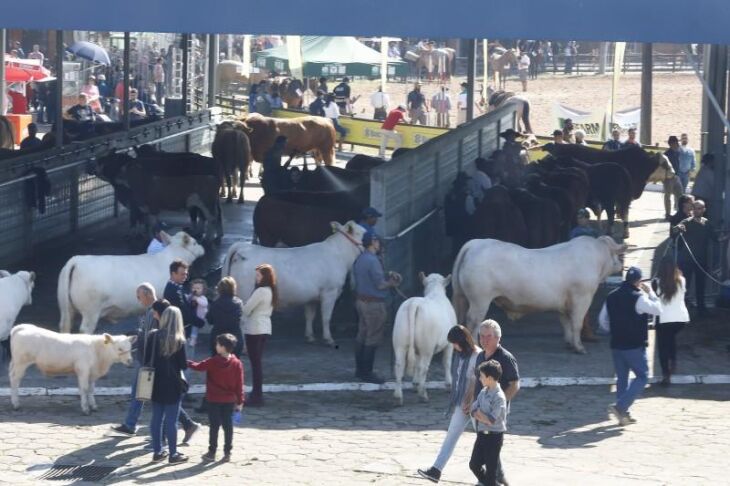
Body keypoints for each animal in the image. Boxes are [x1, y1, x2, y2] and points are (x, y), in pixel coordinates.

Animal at [57, 232, 203, 334]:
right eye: (195, 243)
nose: (203, 247)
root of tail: (77, 260)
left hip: (66, 308)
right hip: (90, 311)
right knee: (85, 330)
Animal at [222, 220, 364, 346]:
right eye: (364, 232)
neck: (339, 255)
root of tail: (244, 247)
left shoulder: (311, 297)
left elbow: (309, 316)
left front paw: (310, 336)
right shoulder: (330, 292)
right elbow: (326, 317)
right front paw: (328, 339)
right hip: (246, 295)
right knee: (243, 321)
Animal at [450, 236, 624, 354]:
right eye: (615, 254)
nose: (621, 265)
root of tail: (476, 243)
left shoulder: (563, 303)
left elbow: (566, 322)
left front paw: (569, 343)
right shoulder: (582, 298)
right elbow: (576, 323)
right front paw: (579, 347)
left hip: (462, 297)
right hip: (480, 300)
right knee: (473, 321)